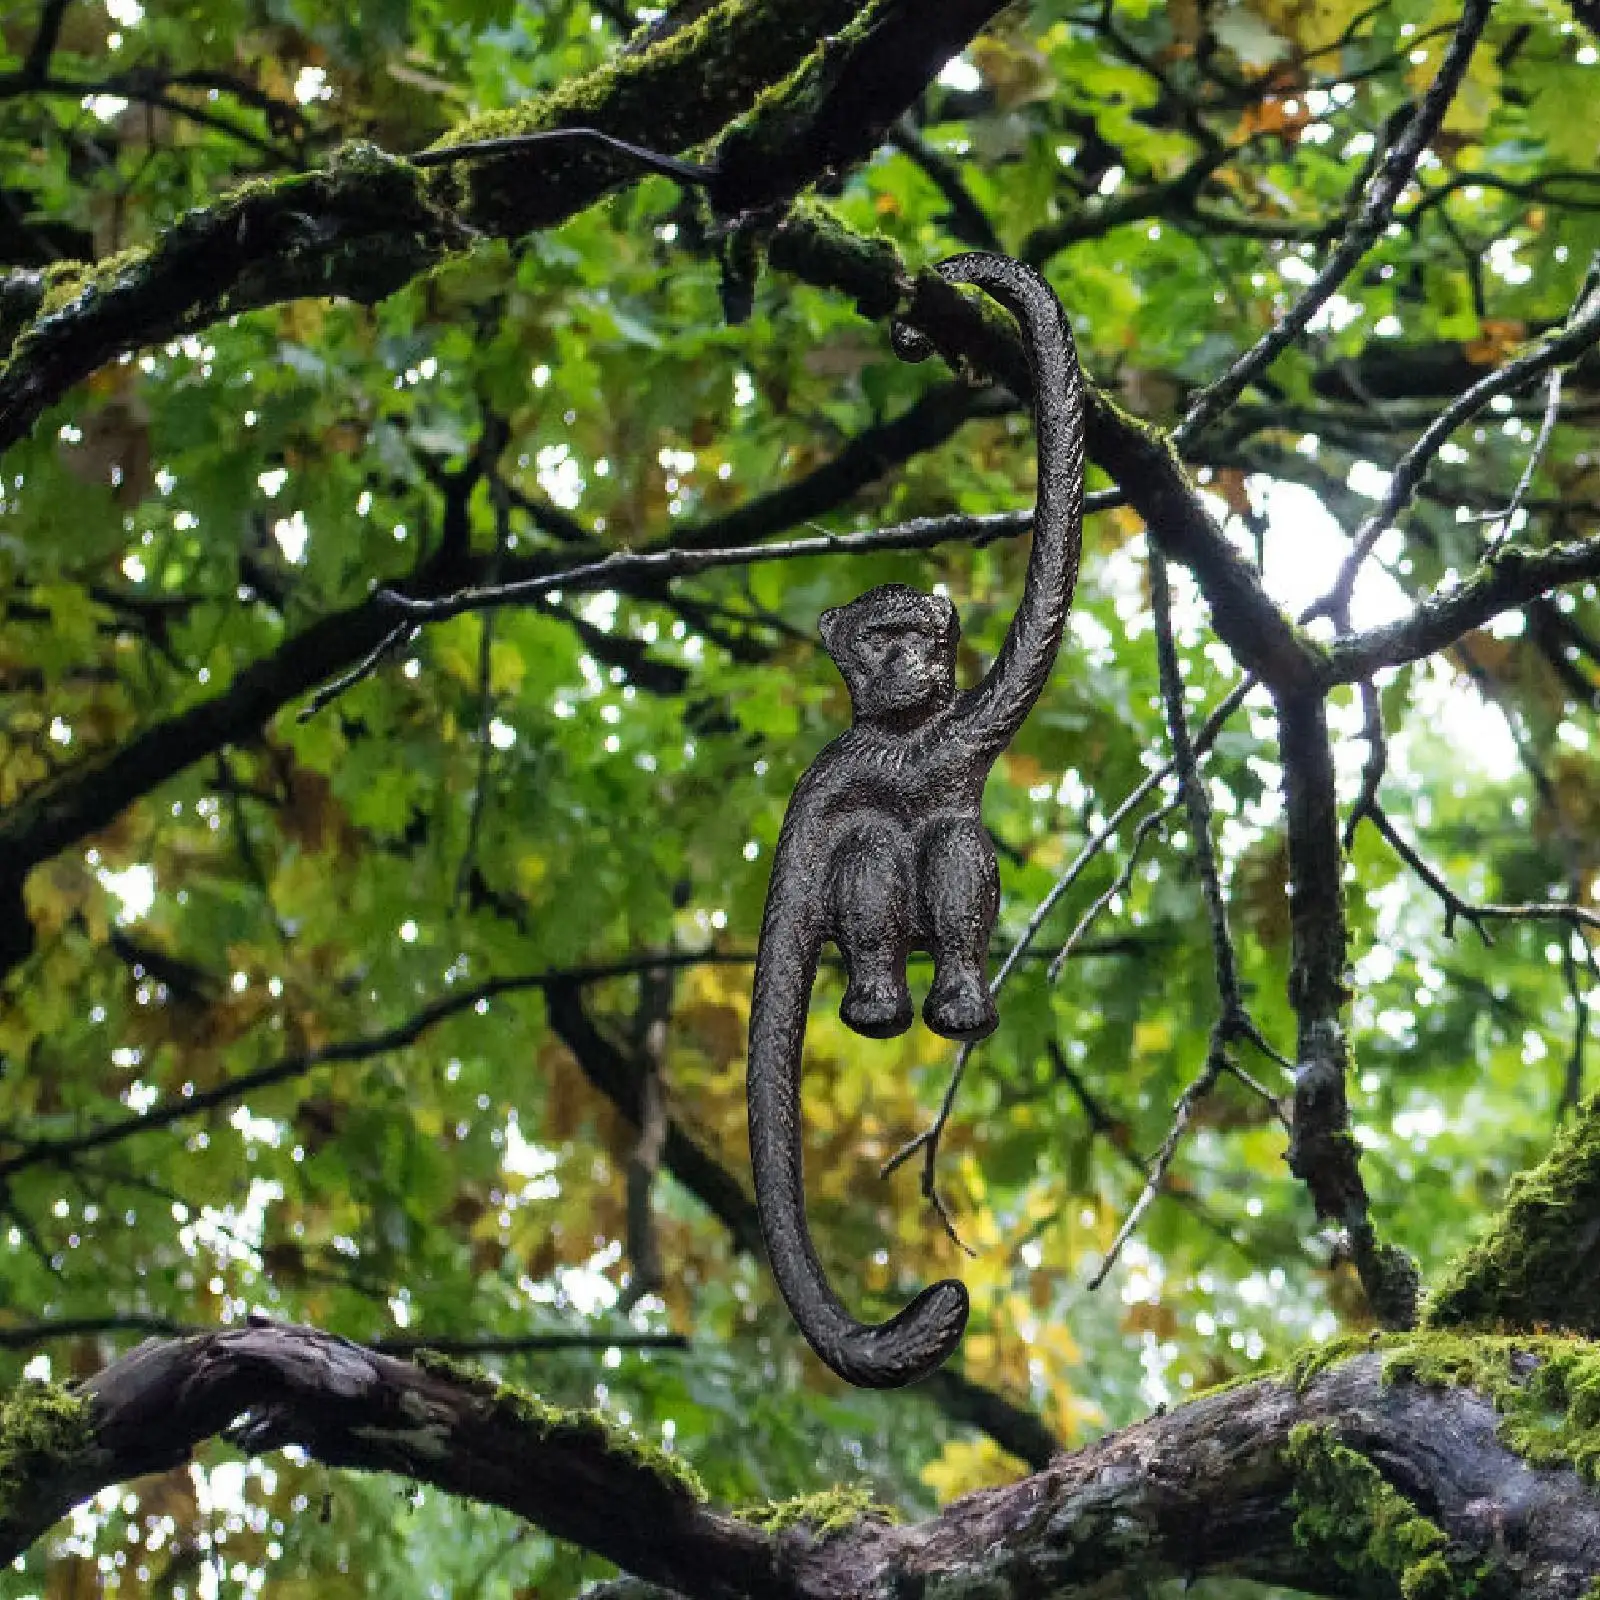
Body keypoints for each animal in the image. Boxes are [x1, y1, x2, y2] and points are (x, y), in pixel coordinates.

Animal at [746, 253, 1087, 1389]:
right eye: (879, 638)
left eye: (921, 636)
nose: (911, 662)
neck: (903, 740)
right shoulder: (827, 782)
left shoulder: (956, 734)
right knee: (871, 852)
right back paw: (880, 1008)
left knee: (949, 842)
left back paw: (959, 1005)